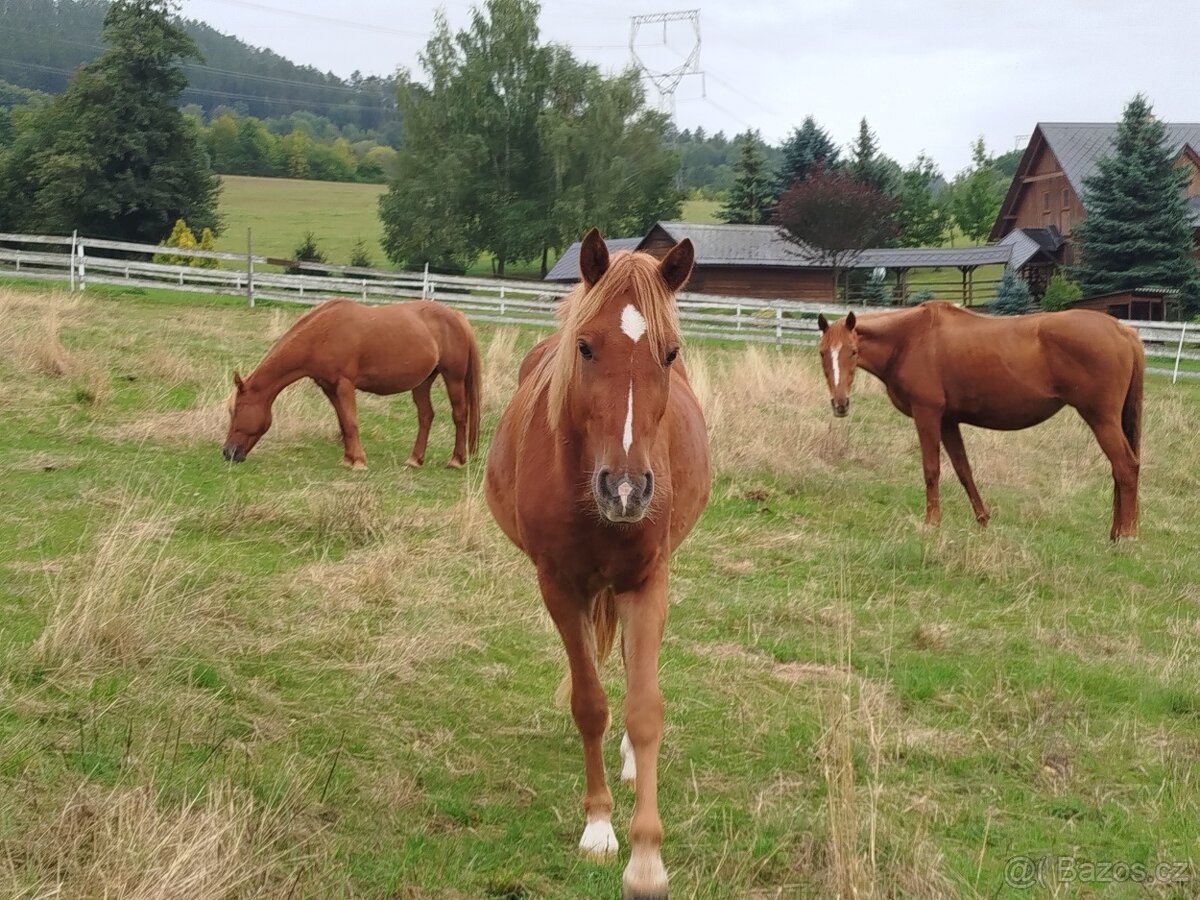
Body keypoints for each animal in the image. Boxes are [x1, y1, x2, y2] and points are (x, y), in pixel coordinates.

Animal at [223, 298, 481, 469]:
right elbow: (343, 422)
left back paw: (456, 460)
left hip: (453, 378)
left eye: (237, 410)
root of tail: (457, 316)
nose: (228, 452)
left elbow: (351, 422)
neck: (322, 334)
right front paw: (348, 458)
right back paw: (414, 459)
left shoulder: (345, 385)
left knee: (460, 415)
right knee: (426, 416)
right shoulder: (329, 387)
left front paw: (358, 461)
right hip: (423, 382)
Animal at [485, 229, 710, 898]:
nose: (627, 489)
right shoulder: (559, 587)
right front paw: (599, 827)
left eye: (669, 352)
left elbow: (644, 708)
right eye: (585, 347)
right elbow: (590, 703)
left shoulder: (647, 582)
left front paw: (646, 859)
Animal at [816, 301, 1144, 540]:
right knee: (1119, 471)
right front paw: (983, 519)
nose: (840, 404)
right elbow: (964, 470)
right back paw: (1116, 532)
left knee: (1126, 467)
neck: (910, 339)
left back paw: (1126, 536)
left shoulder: (927, 414)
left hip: (1101, 420)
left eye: (853, 351)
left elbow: (931, 470)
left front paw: (932, 523)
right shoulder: (948, 421)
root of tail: (1121, 329)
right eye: (822, 353)